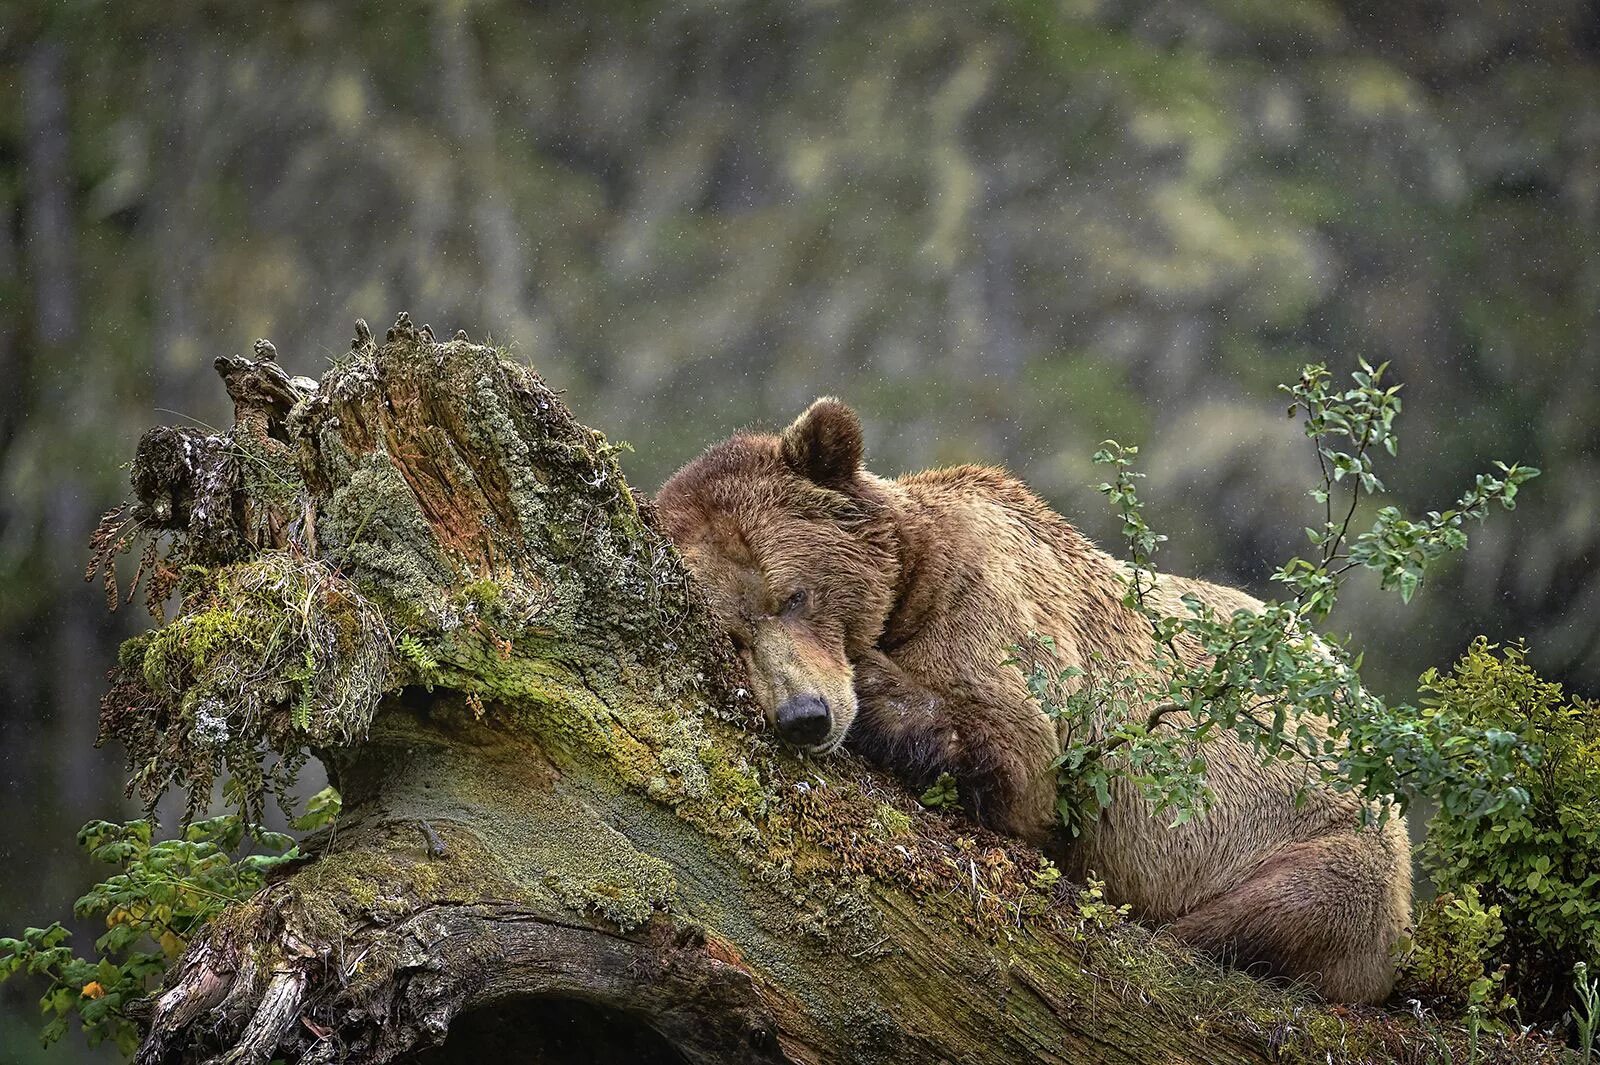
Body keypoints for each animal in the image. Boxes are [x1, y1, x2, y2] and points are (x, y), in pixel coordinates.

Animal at [655, 397, 1412, 1004]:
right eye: (732, 634)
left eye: (795, 594)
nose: (806, 716)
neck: (911, 580)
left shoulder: (996, 605)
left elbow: (1018, 757)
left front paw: (871, 679)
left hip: (1327, 837)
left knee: (1280, 906)